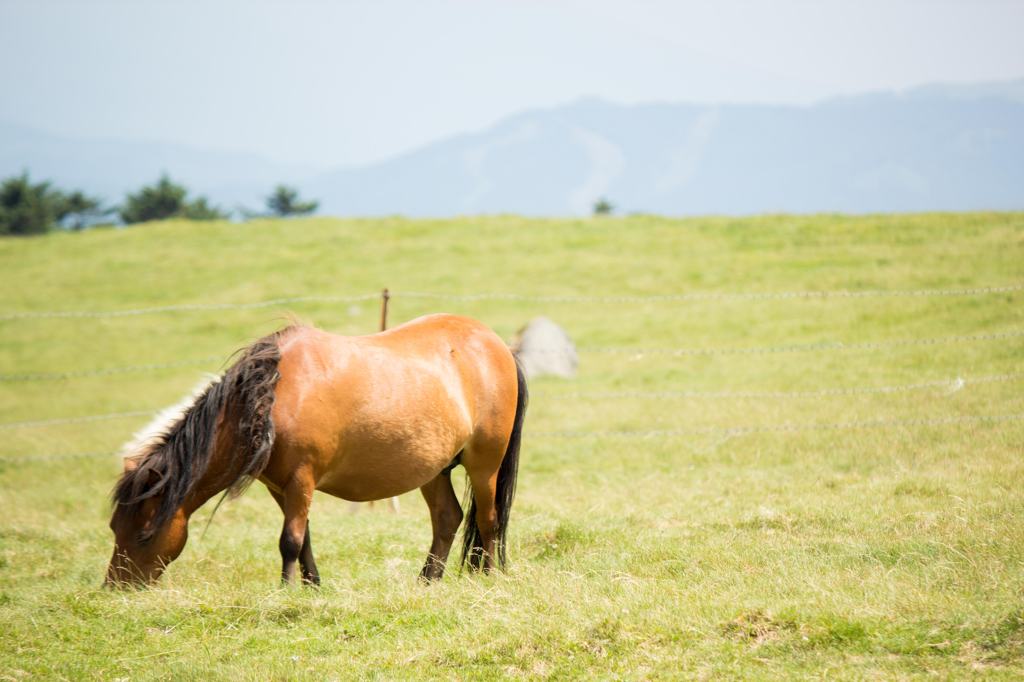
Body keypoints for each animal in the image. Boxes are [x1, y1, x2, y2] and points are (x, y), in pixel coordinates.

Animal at [105, 313, 528, 585]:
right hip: (434, 468)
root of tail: (497, 345)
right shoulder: (280, 487)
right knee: (447, 518)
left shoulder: (300, 480)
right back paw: (428, 580)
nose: (116, 587)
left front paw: (286, 589)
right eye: (114, 527)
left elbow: (289, 540)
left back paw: (489, 577)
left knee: (489, 520)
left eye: (144, 534)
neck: (271, 397)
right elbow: (302, 536)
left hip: (484, 464)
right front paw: (310, 586)